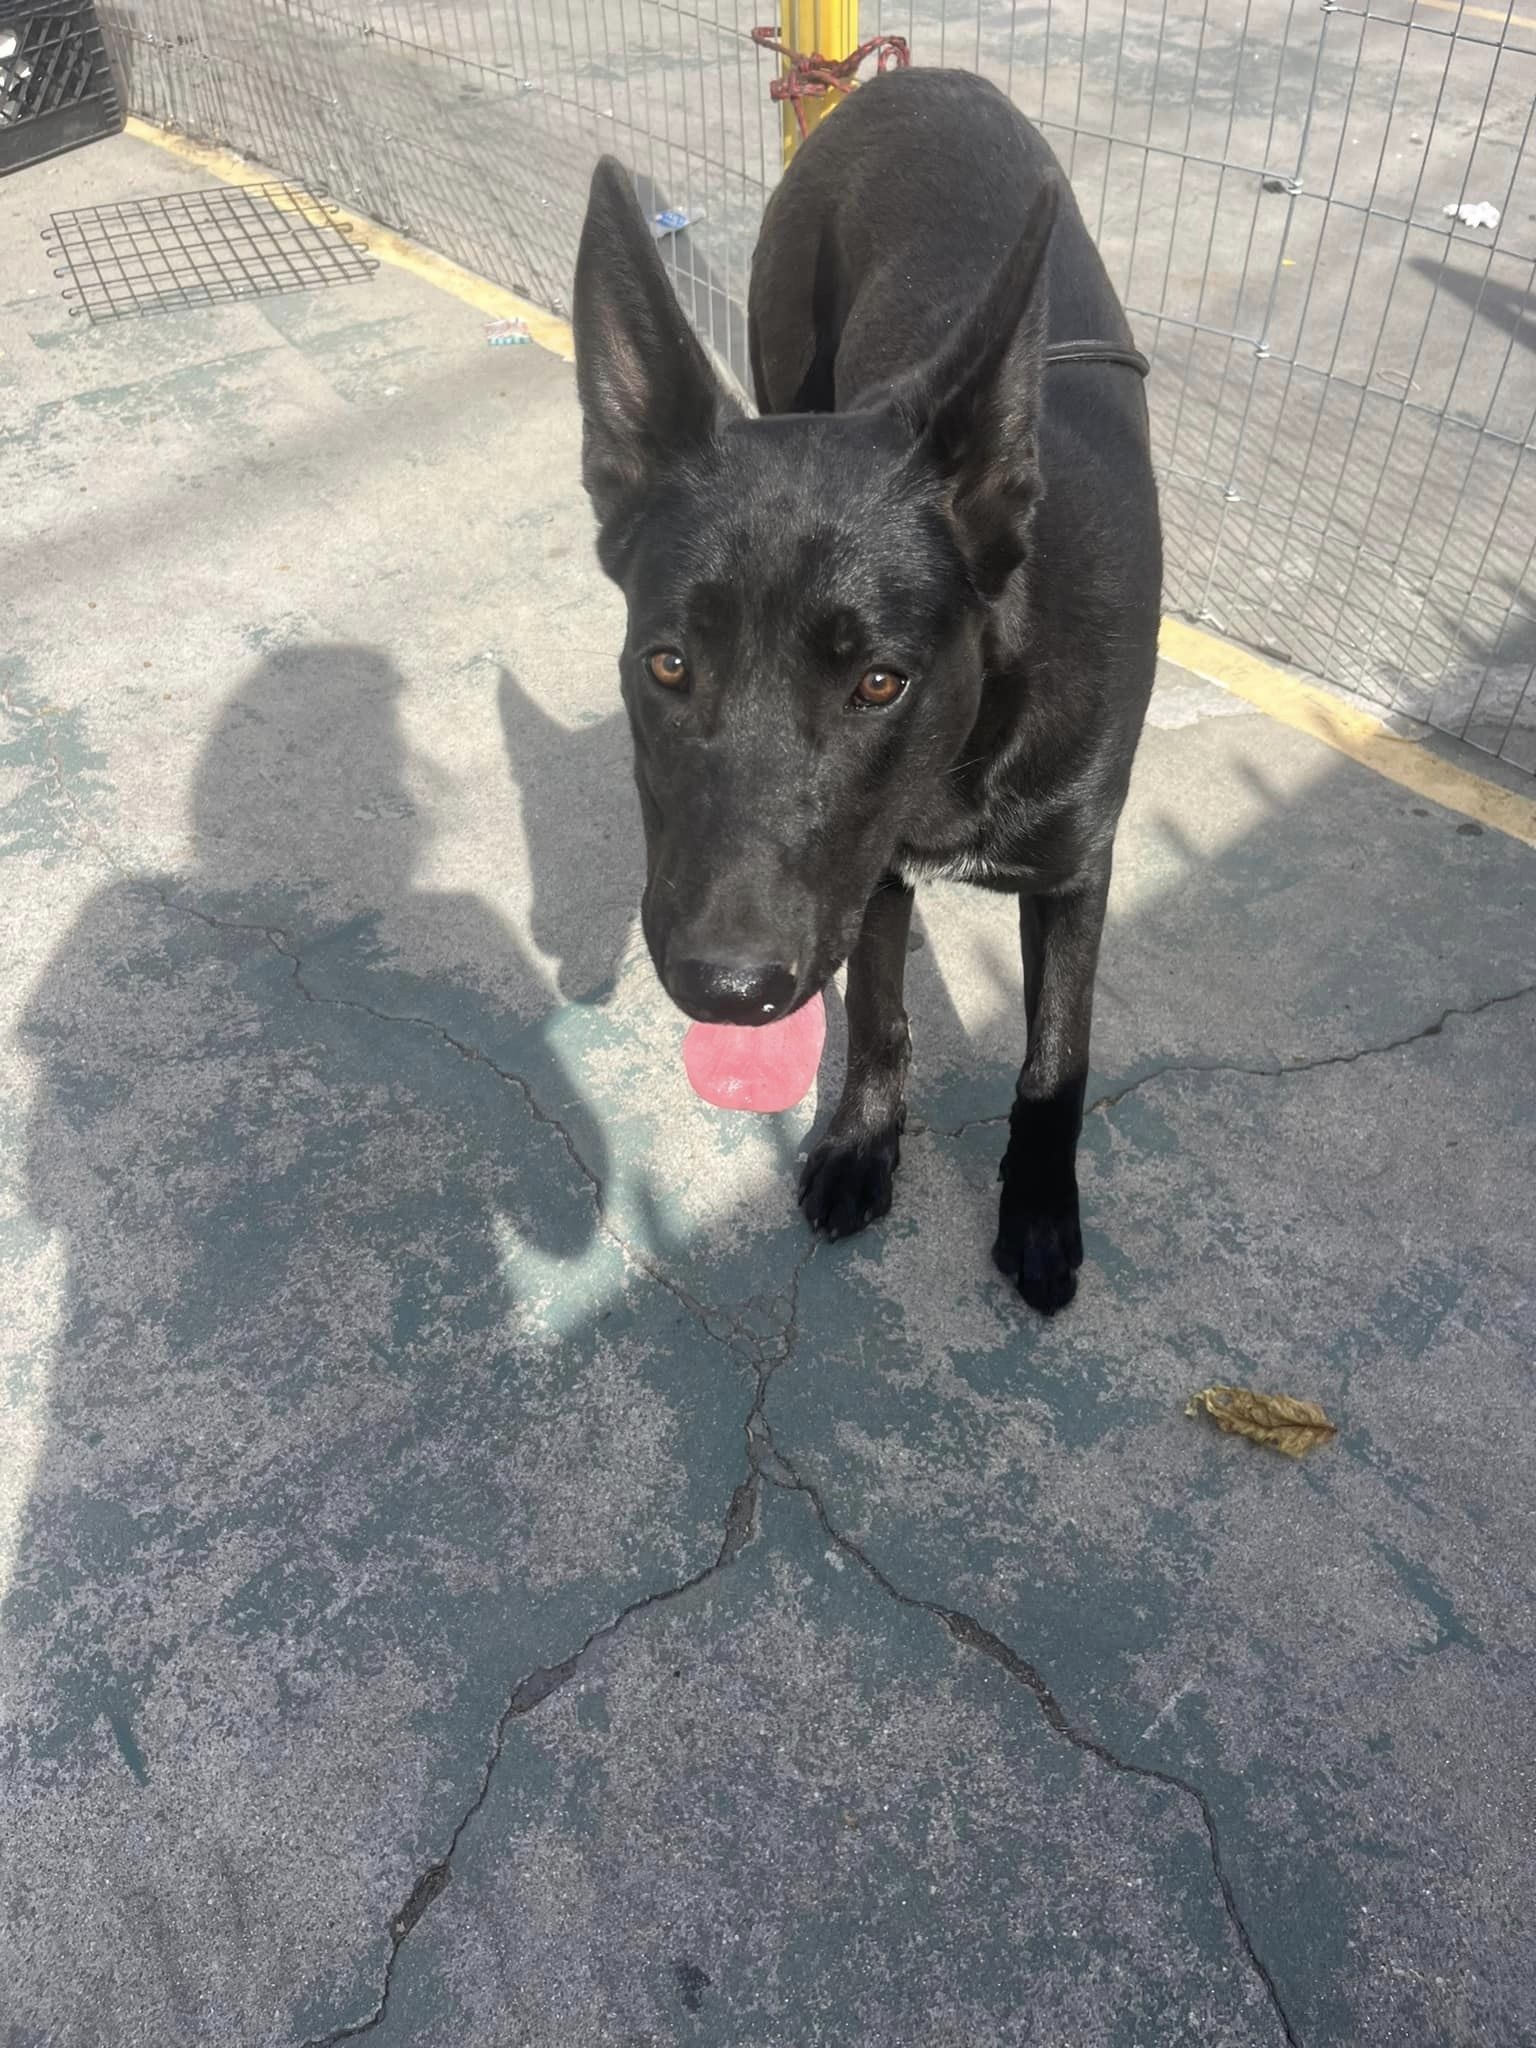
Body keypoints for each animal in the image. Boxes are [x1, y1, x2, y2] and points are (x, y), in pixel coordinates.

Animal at [573, 68, 1163, 1310]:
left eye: (880, 683)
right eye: (667, 665)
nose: (728, 989)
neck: (975, 734)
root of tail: (914, 78)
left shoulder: (1077, 869)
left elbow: (1055, 1056)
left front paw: (1040, 1208)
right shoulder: (873, 872)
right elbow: (882, 1011)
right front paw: (862, 1140)